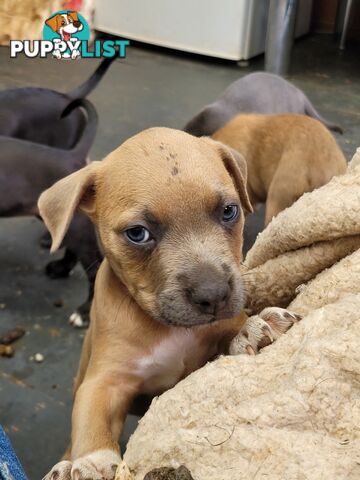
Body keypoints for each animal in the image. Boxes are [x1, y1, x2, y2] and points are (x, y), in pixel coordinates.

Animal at [38, 128, 300, 480]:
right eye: (137, 233)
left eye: (229, 211)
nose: (214, 295)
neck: (169, 330)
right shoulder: (105, 380)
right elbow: (92, 422)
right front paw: (91, 464)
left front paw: (251, 329)